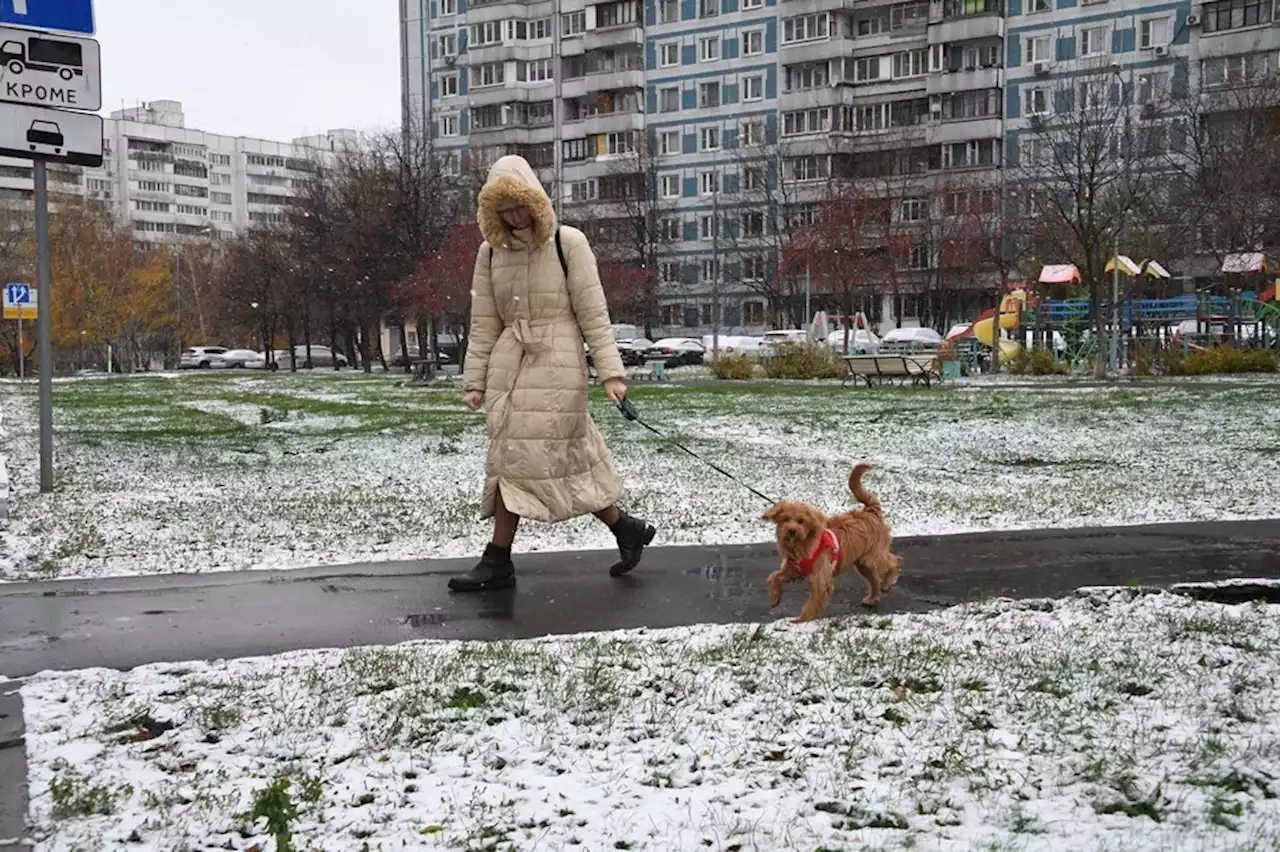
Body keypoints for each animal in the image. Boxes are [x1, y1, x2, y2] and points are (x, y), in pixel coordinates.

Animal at [762, 460, 906, 621]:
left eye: (801, 521)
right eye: (785, 519)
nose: (791, 530)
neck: (803, 544)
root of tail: (869, 512)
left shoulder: (821, 580)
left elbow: (812, 605)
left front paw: (802, 621)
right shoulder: (792, 569)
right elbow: (774, 576)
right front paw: (775, 597)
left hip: (873, 555)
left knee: (895, 561)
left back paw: (888, 581)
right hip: (862, 563)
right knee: (874, 578)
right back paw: (873, 598)